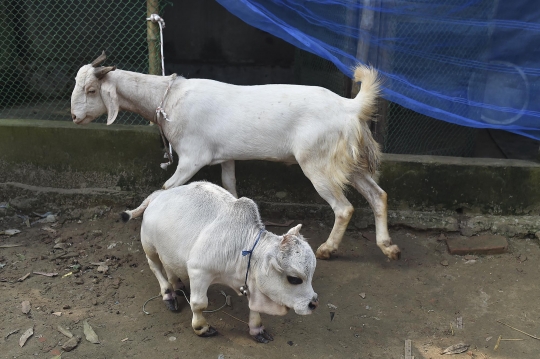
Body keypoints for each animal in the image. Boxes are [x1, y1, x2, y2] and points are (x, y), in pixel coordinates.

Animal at [71, 51, 400, 262]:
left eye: (91, 89)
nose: (74, 117)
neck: (167, 99)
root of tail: (350, 106)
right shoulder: (224, 157)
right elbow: (230, 188)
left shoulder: (192, 157)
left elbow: (164, 189)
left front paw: (133, 213)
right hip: (349, 161)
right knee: (378, 195)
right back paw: (388, 246)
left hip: (318, 161)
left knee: (344, 208)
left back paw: (329, 249)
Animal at [121, 183, 316, 344]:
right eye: (294, 279)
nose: (313, 304)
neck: (242, 247)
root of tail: (158, 194)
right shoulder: (198, 271)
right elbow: (199, 304)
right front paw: (201, 327)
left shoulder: (251, 282)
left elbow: (254, 308)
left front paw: (257, 329)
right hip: (149, 246)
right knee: (155, 267)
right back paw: (168, 294)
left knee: (169, 267)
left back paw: (177, 285)